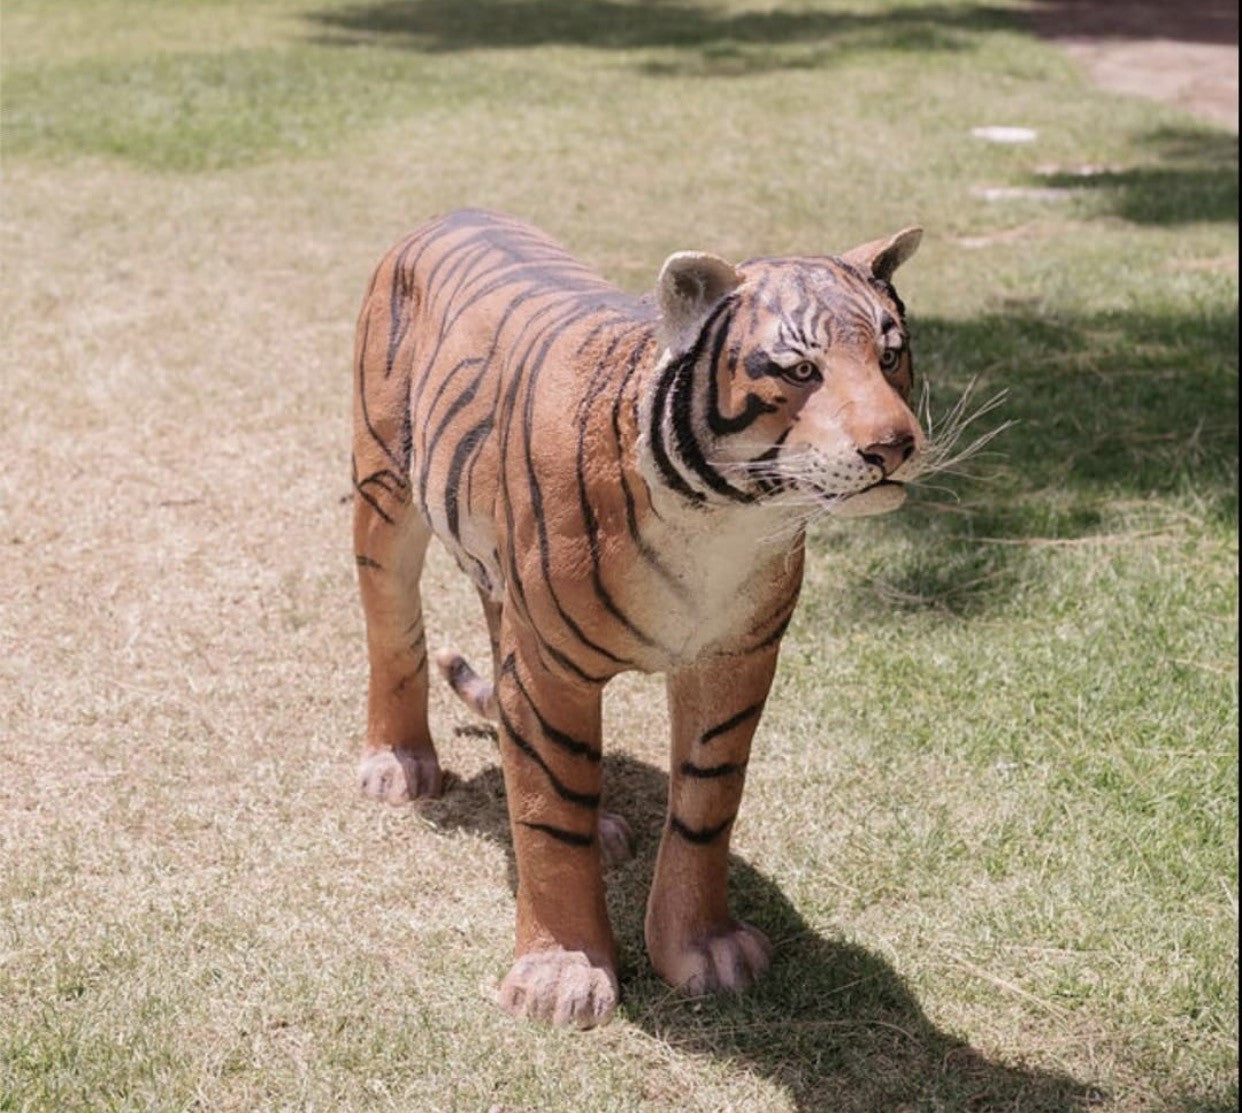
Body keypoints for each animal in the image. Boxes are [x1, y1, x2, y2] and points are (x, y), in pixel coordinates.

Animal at [351, 208, 925, 1028]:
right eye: (800, 371)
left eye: (891, 355)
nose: (895, 446)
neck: (725, 521)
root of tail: (449, 214)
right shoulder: (546, 670)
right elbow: (546, 814)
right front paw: (560, 974)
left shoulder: (735, 661)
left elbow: (706, 804)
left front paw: (705, 949)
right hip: (384, 492)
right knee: (392, 628)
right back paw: (397, 766)